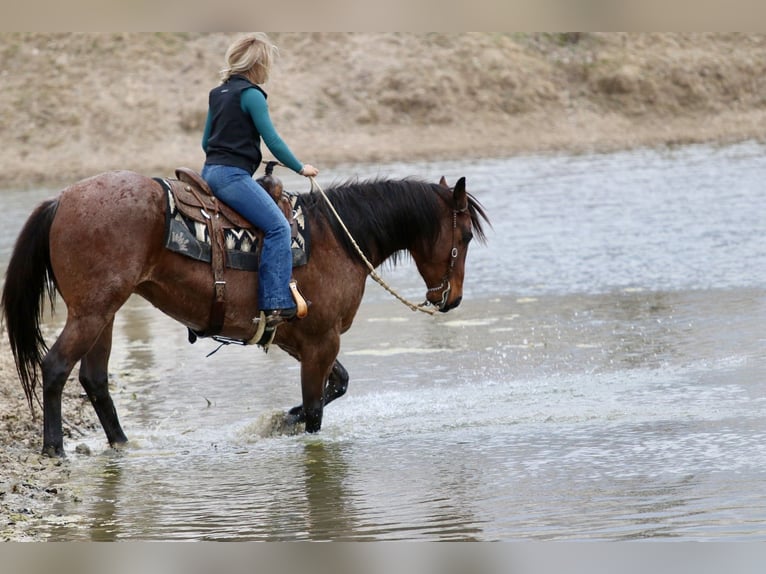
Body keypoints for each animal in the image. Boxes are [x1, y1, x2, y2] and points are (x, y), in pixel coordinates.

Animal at [1, 169, 489, 457]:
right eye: (465, 235)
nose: (452, 298)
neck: (336, 238)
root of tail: (62, 200)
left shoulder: (298, 338)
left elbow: (339, 384)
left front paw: (282, 418)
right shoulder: (322, 341)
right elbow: (317, 411)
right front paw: (296, 424)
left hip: (105, 312)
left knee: (94, 378)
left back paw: (122, 443)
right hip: (92, 310)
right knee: (56, 366)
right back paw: (54, 448)